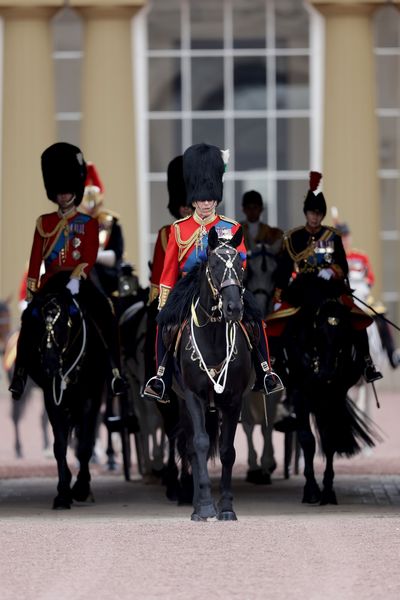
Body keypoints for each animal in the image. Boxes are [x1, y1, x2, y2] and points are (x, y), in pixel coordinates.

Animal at [23, 274, 108, 508]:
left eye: (63, 324)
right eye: (37, 324)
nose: (50, 366)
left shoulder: (91, 397)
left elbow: (85, 444)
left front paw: (81, 487)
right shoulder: (52, 399)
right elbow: (60, 445)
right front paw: (63, 492)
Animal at [159, 226, 253, 520]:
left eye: (240, 265)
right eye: (213, 265)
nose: (233, 308)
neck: (212, 335)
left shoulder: (234, 399)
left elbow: (227, 450)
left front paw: (226, 507)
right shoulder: (193, 396)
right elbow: (200, 444)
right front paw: (206, 507)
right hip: (182, 404)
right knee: (191, 447)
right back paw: (197, 504)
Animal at [272, 276, 378, 506]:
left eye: (344, 334)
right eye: (318, 332)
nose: (326, 375)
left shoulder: (335, 394)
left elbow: (330, 439)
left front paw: (328, 490)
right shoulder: (300, 392)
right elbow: (307, 439)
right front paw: (311, 489)